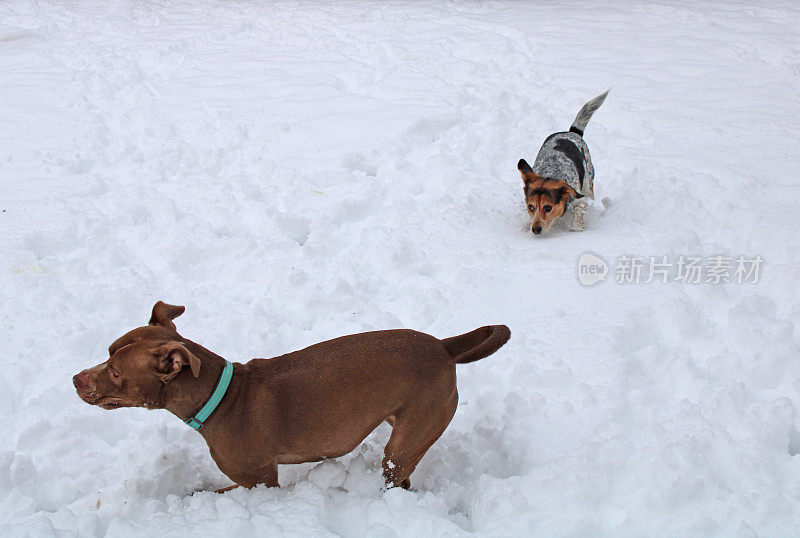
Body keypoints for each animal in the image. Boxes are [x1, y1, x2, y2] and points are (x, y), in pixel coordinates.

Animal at [520, 90, 608, 232]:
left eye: (548, 207)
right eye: (531, 207)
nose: (536, 229)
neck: (551, 172)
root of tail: (572, 132)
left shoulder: (579, 200)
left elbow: (578, 217)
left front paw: (576, 228)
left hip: (589, 183)